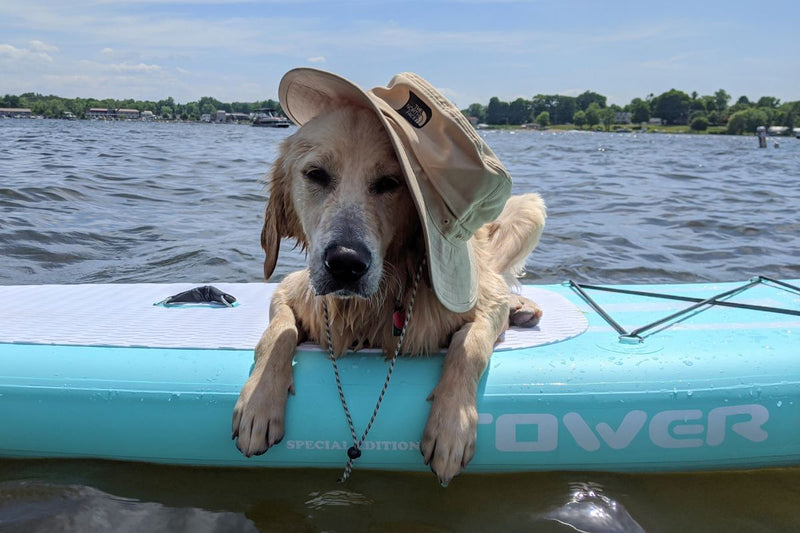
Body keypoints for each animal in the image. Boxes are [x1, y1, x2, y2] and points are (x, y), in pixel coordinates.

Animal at [228, 71, 548, 486]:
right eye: (315, 175)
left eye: (389, 183)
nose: (345, 263)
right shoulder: (292, 289)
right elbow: (278, 331)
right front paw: (258, 403)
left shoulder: (483, 298)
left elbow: (470, 343)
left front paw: (452, 427)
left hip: (527, 208)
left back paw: (521, 305)